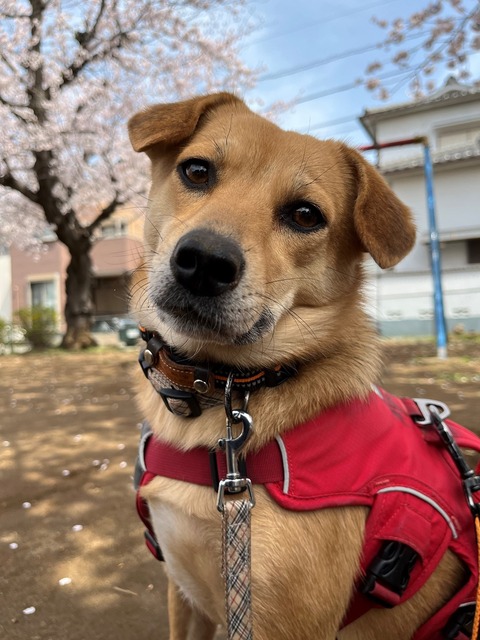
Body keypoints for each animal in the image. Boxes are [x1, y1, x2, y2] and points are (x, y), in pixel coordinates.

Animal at [128, 95, 476, 640]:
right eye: (196, 171)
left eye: (305, 215)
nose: (204, 261)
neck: (222, 387)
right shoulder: (185, 594)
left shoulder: (282, 622)